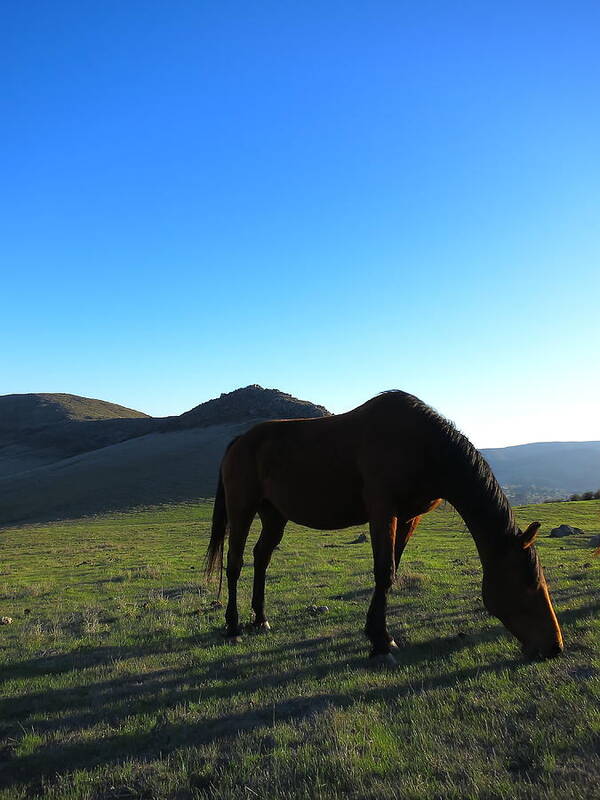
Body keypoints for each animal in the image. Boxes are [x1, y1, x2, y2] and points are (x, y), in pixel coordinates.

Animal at [205, 392, 564, 664]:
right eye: (529, 584)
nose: (554, 646)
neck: (423, 447)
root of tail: (240, 441)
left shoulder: (408, 519)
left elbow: (392, 569)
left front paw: (379, 635)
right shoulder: (382, 511)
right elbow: (383, 571)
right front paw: (380, 642)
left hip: (274, 514)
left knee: (261, 557)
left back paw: (260, 618)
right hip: (242, 508)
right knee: (235, 563)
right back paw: (233, 627)